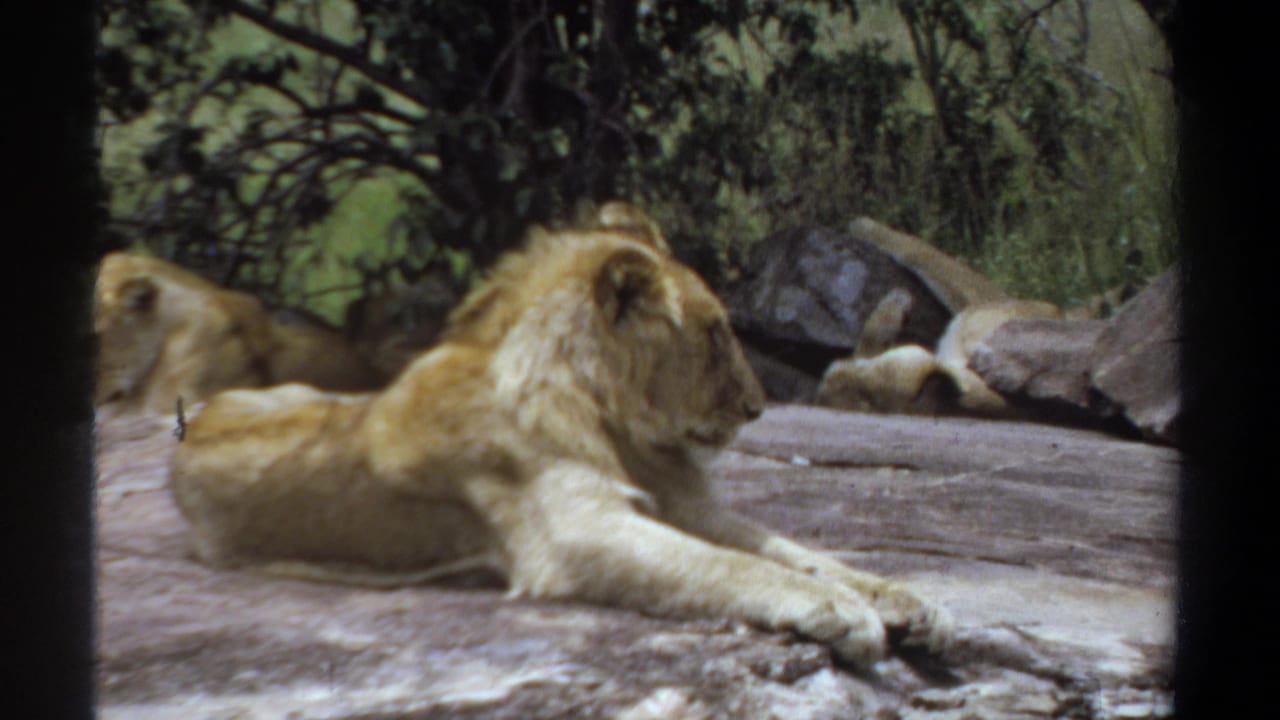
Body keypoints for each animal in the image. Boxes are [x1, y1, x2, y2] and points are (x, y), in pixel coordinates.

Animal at [168, 202, 954, 670]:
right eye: (713, 333)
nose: (759, 407)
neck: (615, 419)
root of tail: (192, 421)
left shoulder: (691, 508)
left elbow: (799, 552)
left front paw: (907, 601)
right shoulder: (576, 532)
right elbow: (733, 568)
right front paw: (842, 614)